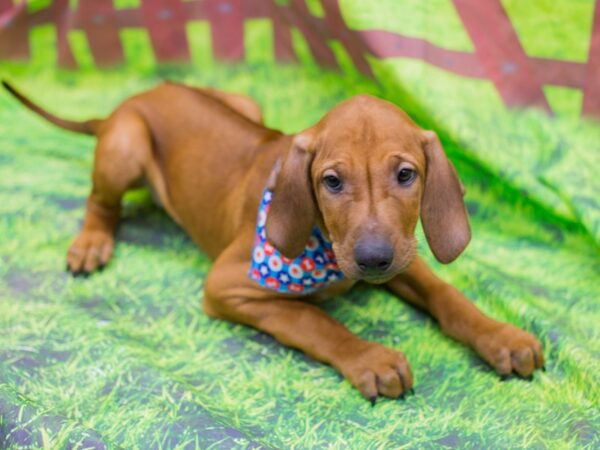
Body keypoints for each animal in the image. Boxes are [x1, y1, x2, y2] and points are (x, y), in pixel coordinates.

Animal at [3, 81, 544, 404]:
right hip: (126, 145)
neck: (327, 250)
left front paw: (502, 336)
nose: (372, 260)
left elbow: (445, 295)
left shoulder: (403, 252)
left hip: (246, 103)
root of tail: (133, 97)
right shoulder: (227, 283)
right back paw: (91, 242)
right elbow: (313, 321)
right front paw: (370, 358)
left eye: (406, 174)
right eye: (332, 182)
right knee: (101, 200)